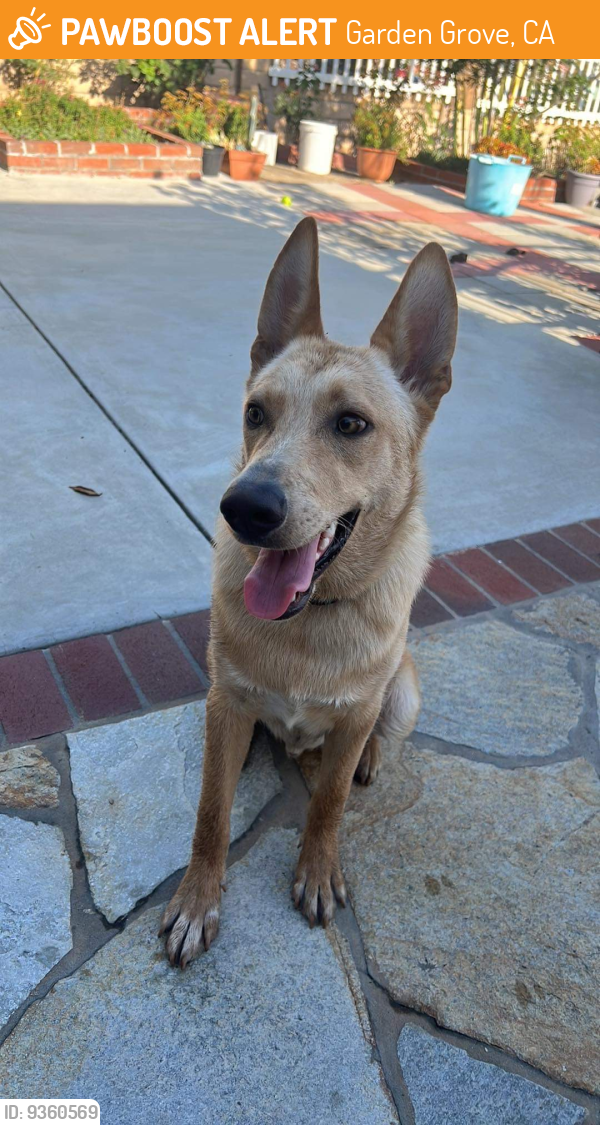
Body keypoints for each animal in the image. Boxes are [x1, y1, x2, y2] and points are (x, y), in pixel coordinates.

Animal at [160, 219, 457, 967]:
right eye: (255, 413)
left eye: (351, 424)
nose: (245, 508)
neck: (309, 618)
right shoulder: (226, 705)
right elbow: (211, 812)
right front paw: (197, 898)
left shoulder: (355, 717)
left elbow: (327, 808)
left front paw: (318, 868)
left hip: (403, 689)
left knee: (371, 743)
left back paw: (368, 760)